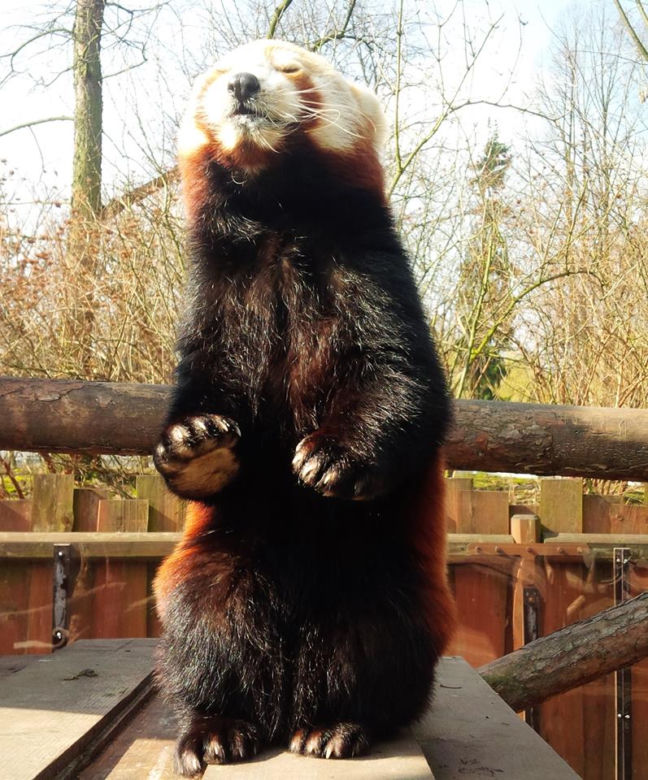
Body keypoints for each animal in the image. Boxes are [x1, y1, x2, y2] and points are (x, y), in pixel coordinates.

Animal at [153, 39, 455, 777]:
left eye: (290, 69)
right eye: (215, 75)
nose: (241, 83)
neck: (278, 223)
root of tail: (286, 689)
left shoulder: (371, 275)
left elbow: (403, 385)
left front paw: (335, 457)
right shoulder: (216, 299)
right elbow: (202, 389)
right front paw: (197, 445)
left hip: (385, 580)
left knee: (373, 643)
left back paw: (338, 724)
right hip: (218, 561)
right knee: (207, 630)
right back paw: (216, 725)